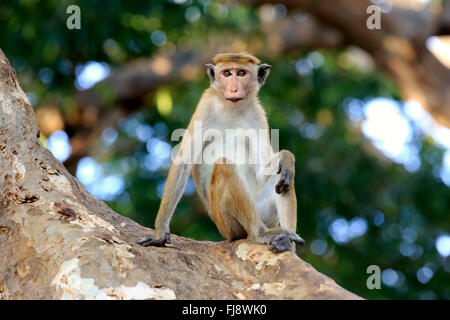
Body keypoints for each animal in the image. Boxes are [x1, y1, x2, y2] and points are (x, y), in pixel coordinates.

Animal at [137, 52, 304, 252]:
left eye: (241, 73)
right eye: (226, 73)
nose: (233, 89)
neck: (232, 107)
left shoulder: (257, 114)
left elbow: (263, 168)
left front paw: (286, 157)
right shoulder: (206, 104)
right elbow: (184, 162)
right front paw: (160, 234)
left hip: (265, 213)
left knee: (281, 176)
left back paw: (287, 242)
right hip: (228, 225)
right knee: (224, 165)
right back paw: (260, 234)